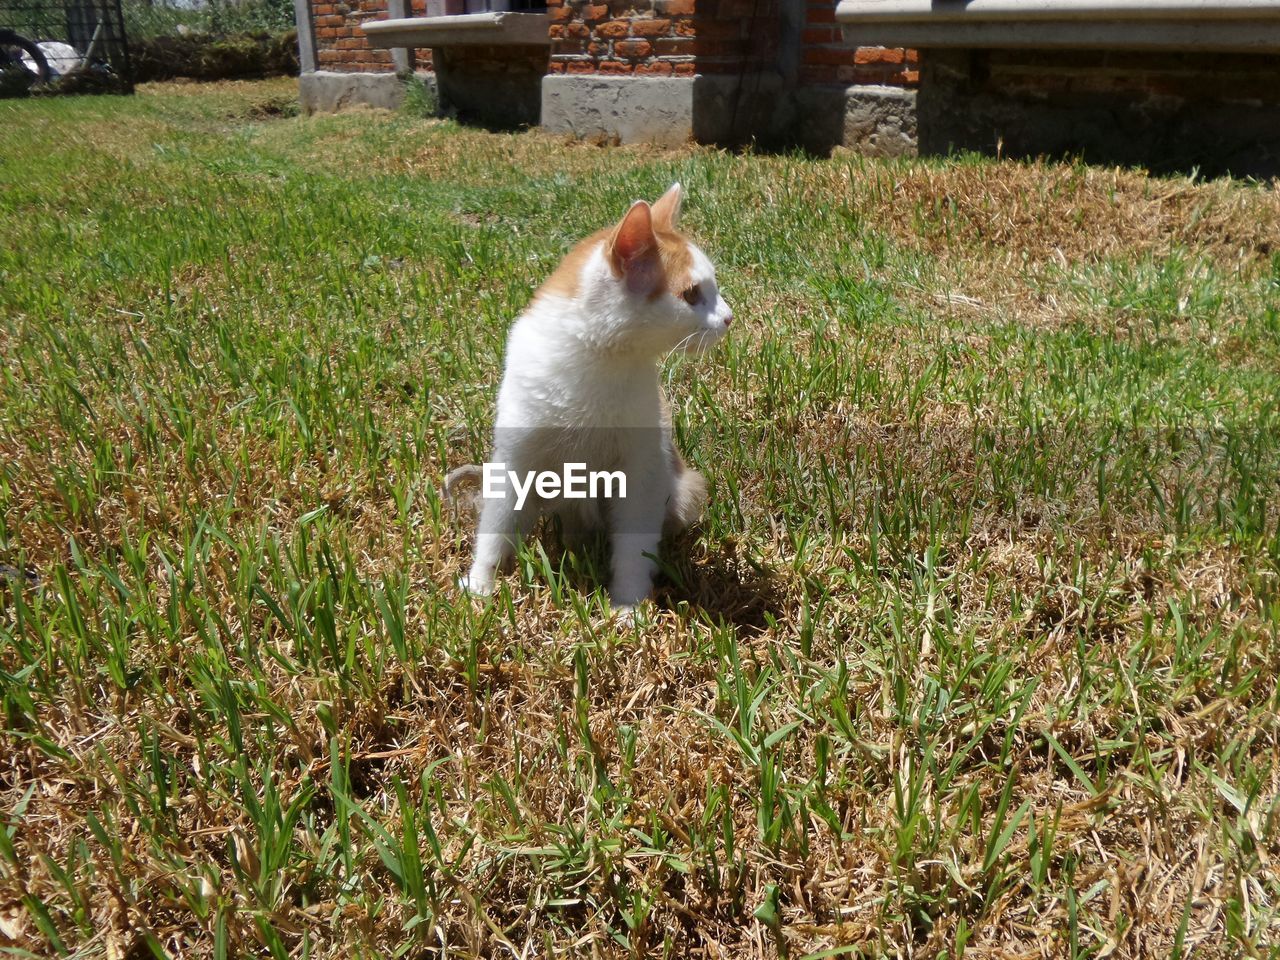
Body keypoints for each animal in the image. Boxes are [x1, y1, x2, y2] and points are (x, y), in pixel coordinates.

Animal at [453, 181, 732, 616]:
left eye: (713, 290)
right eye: (691, 295)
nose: (729, 317)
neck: (601, 358)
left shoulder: (640, 473)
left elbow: (633, 548)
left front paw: (629, 606)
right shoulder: (516, 461)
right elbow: (497, 528)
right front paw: (482, 583)